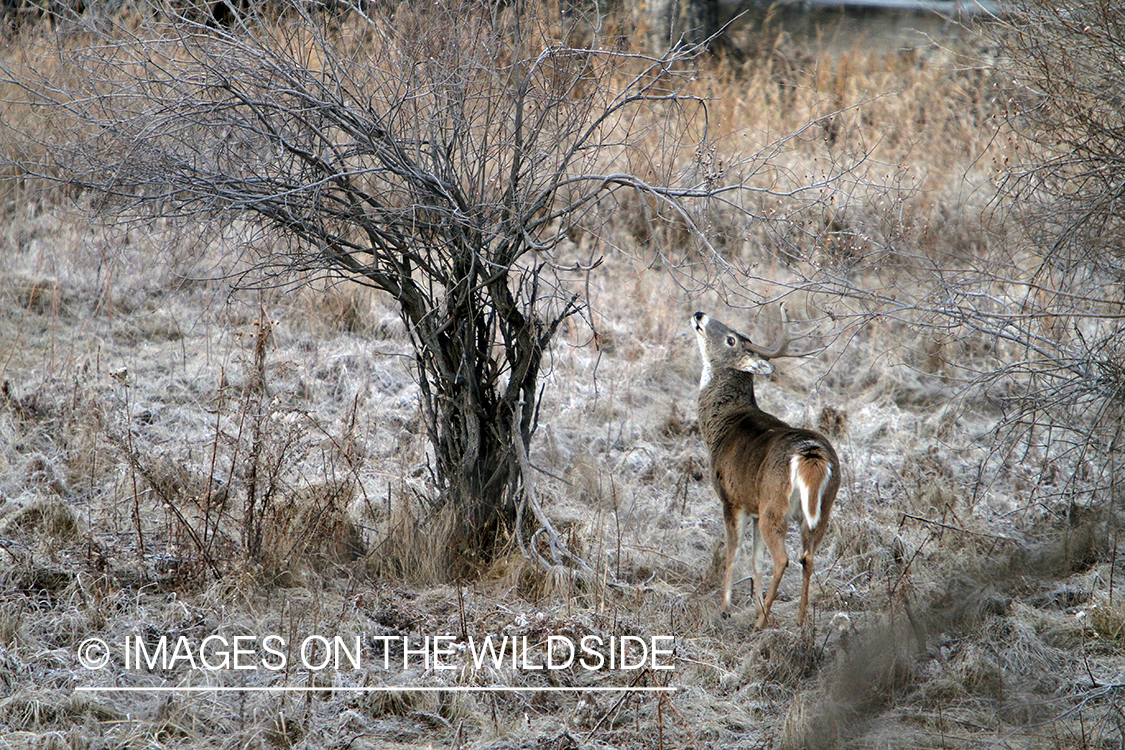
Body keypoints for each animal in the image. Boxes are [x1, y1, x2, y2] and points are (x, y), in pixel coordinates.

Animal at [688, 303, 841, 629]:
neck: (721, 426)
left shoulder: (733, 498)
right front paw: (755, 603)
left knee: (782, 558)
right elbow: (755, 559)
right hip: (821, 509)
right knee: (808, 557)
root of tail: (811, 454)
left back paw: (762, 622)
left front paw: (726, 608)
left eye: (731, 340)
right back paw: (800, 620)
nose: (699, 315)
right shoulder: (754, 504)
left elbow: (733, 553)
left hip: (775, 503)